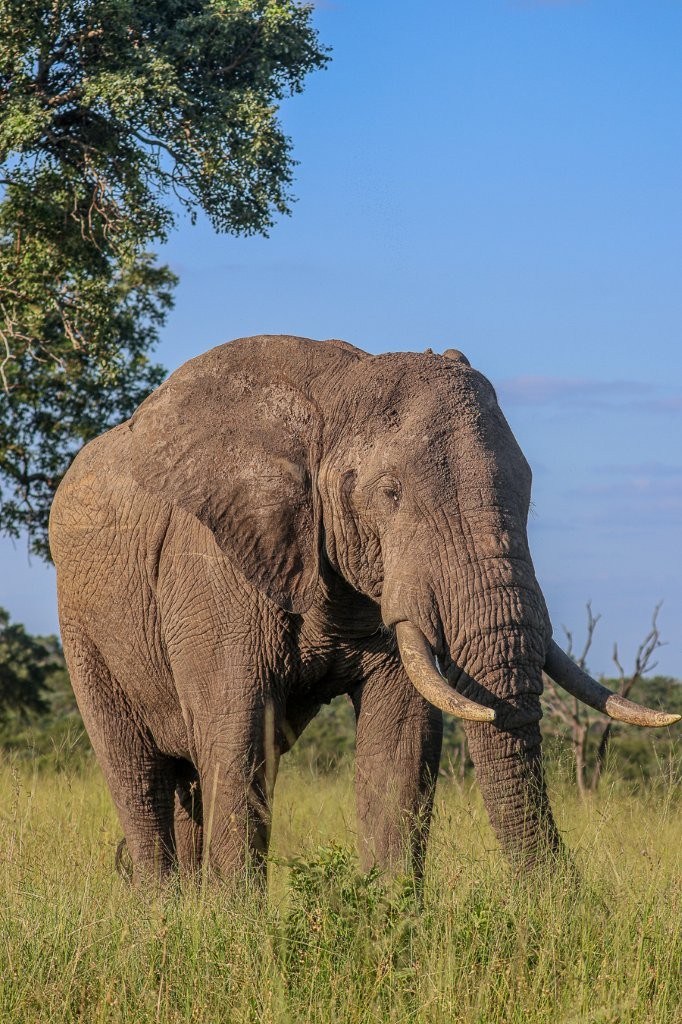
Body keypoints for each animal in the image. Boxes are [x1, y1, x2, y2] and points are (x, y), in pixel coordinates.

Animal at [49, 334, 680, 882]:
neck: (337, 391)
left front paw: (390, 922)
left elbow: (401, 741)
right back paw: (161, 911)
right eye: (389, 494)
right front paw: (236, 933)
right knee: (139, 776)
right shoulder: (210, 566)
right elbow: (238, 735)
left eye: (526, 488)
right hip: (80, 625)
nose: (565, 899)